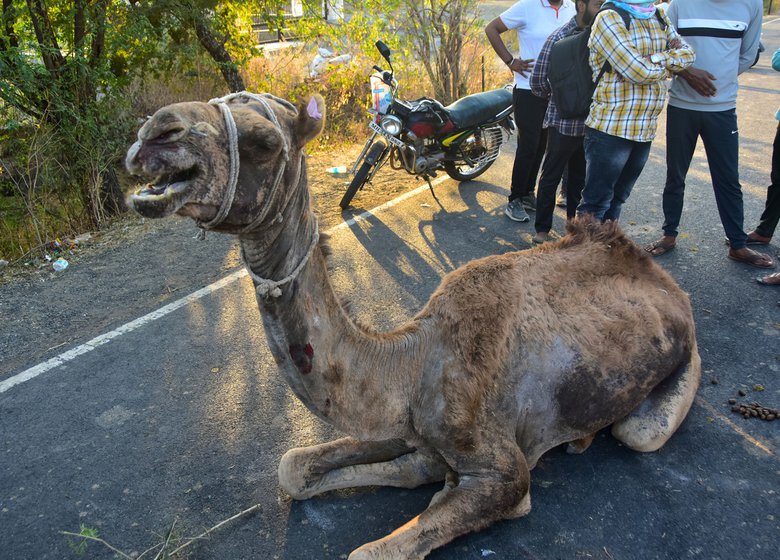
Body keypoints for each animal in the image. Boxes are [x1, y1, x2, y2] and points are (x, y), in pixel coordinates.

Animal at [126, 93, 700, 560]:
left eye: (264, 141)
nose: (153, 134)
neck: (412, 362)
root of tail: (664, 280)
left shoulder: (505, 470)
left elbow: (376, 545)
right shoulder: (401, 426)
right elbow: (295, 466)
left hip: (672, 382)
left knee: (638, 430)